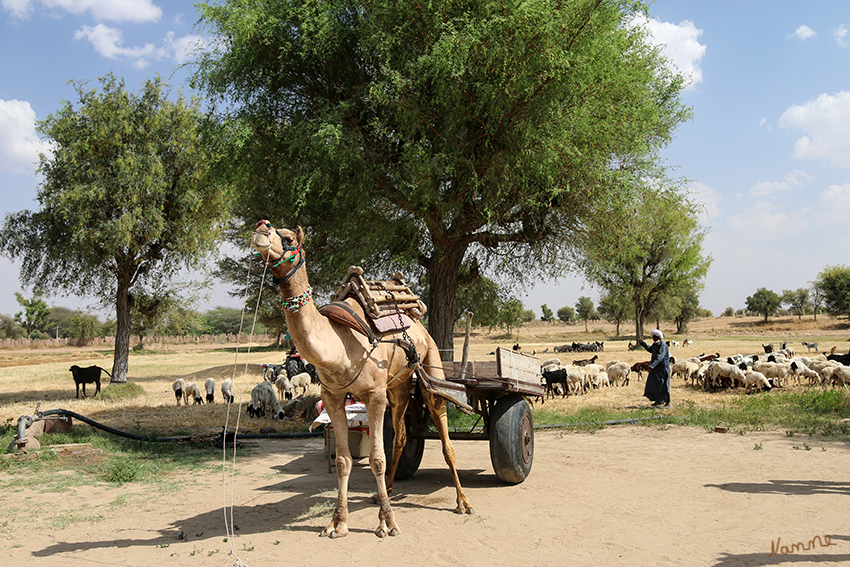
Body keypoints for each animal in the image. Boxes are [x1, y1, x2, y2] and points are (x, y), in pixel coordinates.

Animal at [248, 221, 474, 536]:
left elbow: (376, 458)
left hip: (430, 366)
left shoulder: (374, 395)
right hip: (398, 387)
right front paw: (337, 523)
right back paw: (386, 491)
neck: (338, 344)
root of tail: (417, 318)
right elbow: (344, 460)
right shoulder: (332, 396)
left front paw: (387, 523)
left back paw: (462, 502)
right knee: (401, 435)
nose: (261, 229)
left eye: (289, 238)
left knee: (444, 436)